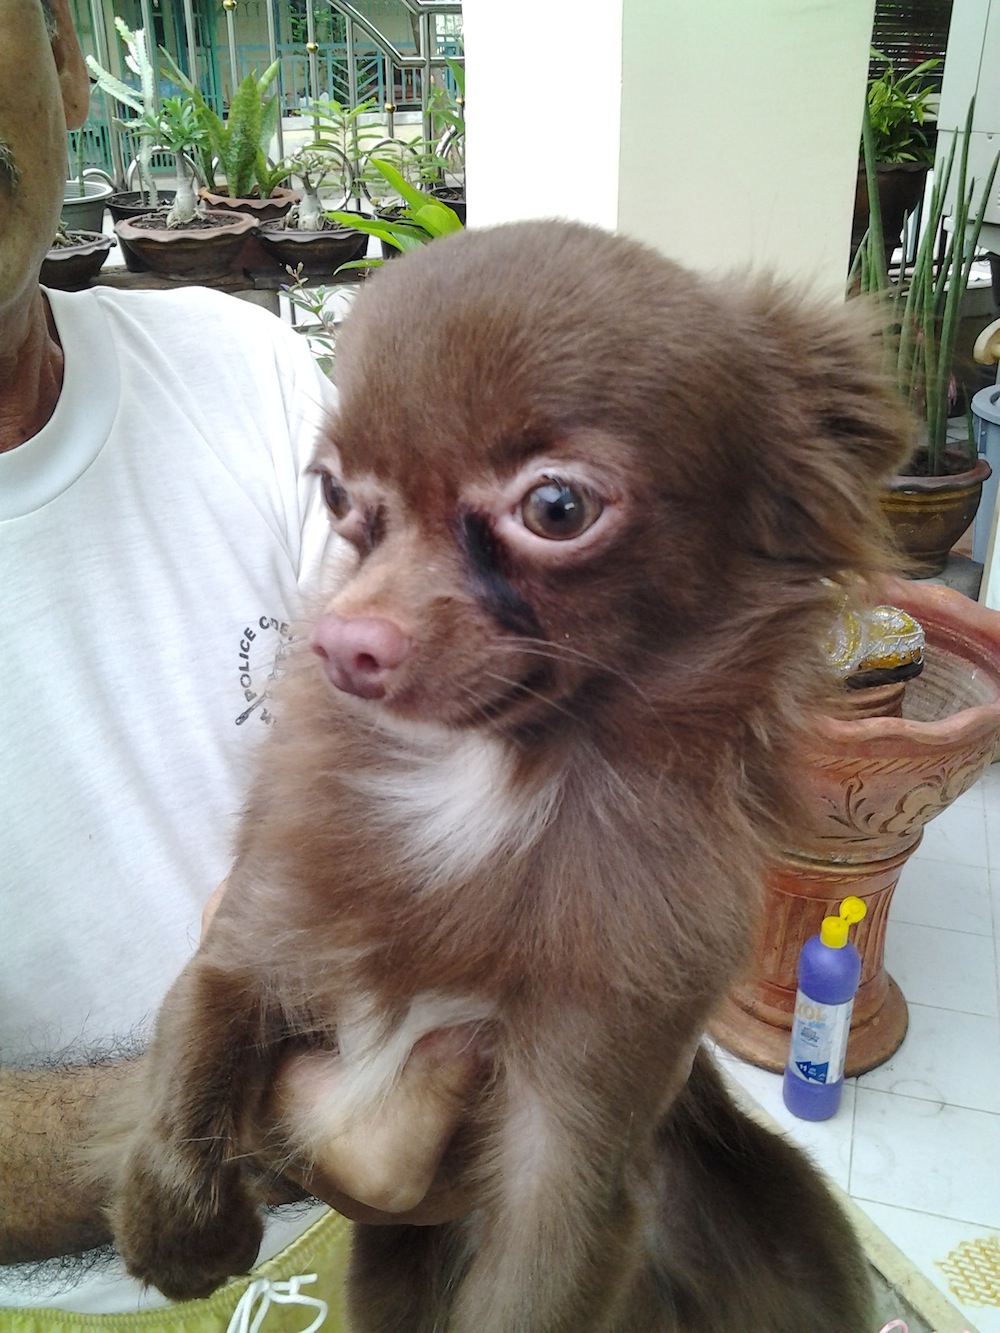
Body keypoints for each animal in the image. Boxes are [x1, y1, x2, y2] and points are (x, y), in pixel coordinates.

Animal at [94, 219, 911, 1331]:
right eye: (338, 494)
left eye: (556, 508)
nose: (345, 641)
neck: (486, 787)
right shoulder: (262, 933)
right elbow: (191, 1028)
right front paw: (177, 1226)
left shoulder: (568, 1147)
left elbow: (533, 1288)